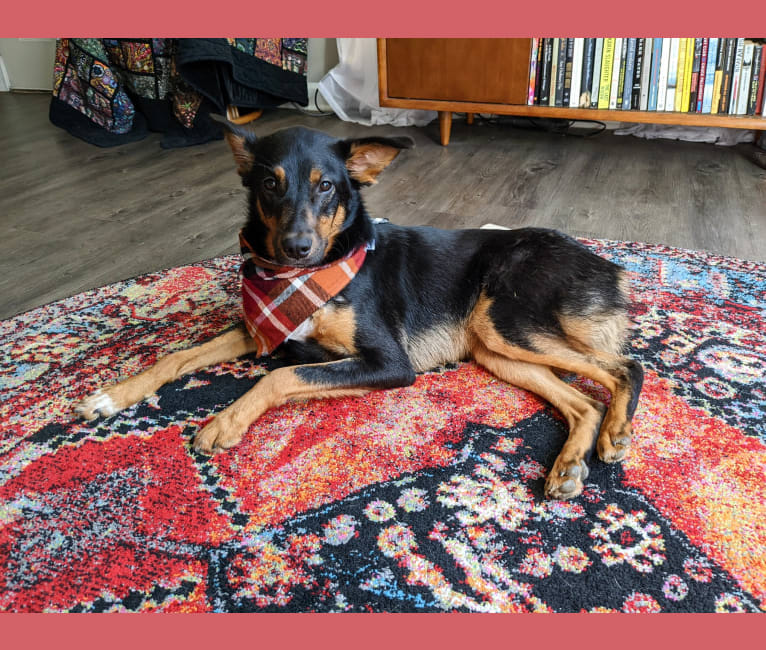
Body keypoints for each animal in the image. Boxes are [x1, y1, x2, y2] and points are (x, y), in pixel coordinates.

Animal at [76, 119, 640, 498]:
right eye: (269, 183)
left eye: (327, 185)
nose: (296, 247)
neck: (302, 277)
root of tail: (603, 264)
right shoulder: (259, 329)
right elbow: (177, 356)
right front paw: (111, 397)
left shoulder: (390, 363)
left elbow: (279, 376)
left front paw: (225, 422)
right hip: (496, 350)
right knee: (583, 401)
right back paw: (569, 465)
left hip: (503, 320)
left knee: (625, 367)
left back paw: (615, 431)